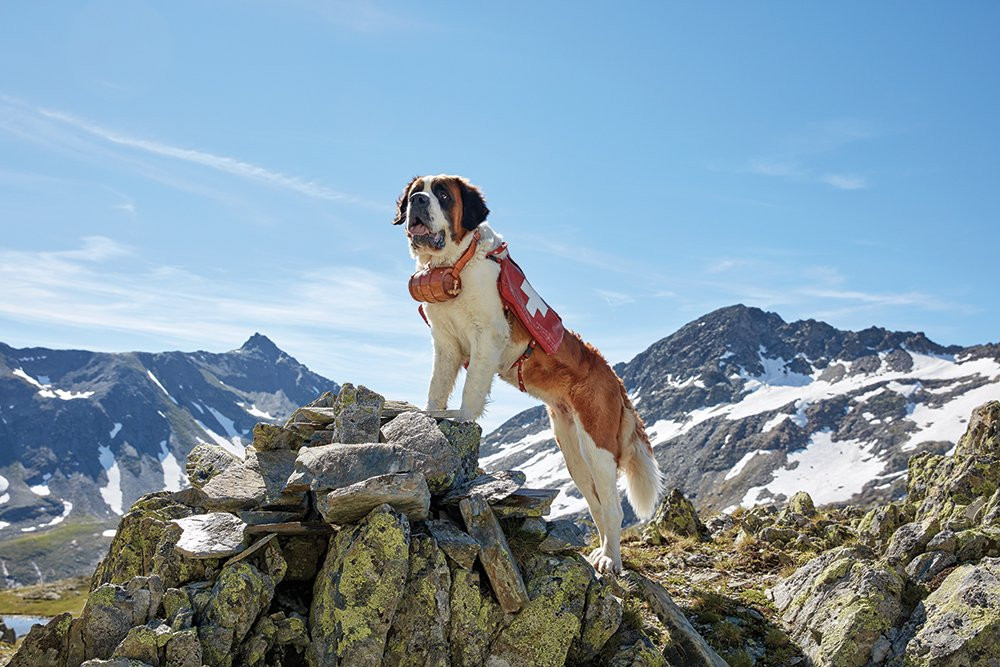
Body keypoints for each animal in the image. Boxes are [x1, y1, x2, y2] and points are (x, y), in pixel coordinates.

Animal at [392, 174, 664, 576]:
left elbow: (471, 390)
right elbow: (438, 385)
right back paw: (599, 552)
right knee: (597, 506)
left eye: (442, 194)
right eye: (416, 192)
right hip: (572, 451)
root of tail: (615, 380)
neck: (455, 263)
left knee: (613, 509)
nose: (419, 202)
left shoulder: (488, 335)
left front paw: (460, 418)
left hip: (596, 445)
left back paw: (610, 561)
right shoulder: (445, 343)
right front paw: (430, 413)